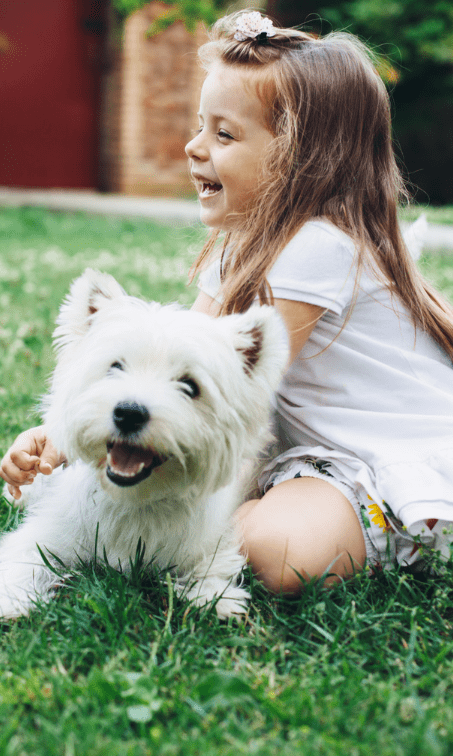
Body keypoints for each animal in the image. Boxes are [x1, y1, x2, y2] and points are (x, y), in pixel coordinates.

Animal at [0, 272, 286, 620]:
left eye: (190, 386)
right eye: (114, 367)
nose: (129, 413)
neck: (135, 501)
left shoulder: (209, 541)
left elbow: (212, 567)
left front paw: (215, 598)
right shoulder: (49, 533)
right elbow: (24, 557)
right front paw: (11, 598)